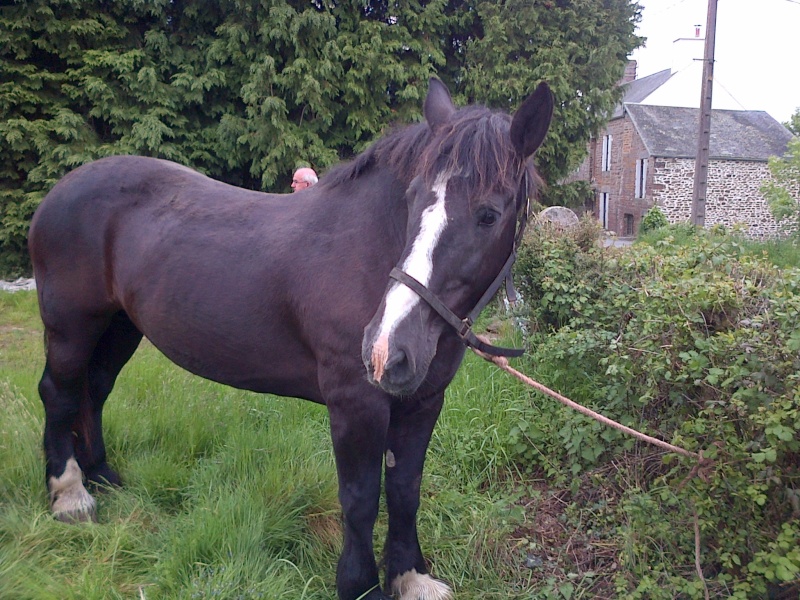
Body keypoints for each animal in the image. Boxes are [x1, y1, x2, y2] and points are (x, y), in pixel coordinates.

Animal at [28, 77, 552, 596]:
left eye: (489, 214)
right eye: (412, 197)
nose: (387, 348)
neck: (370, 246)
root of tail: (61, 190)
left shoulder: (423, 401)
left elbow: (406, 490)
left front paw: (411, 577)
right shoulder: (355, 403)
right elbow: (361, 498)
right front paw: (360, 585)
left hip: (119, 326)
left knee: (94, 391)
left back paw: (101, 476)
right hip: (72, 327)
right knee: (60, 392)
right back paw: (71, 494)